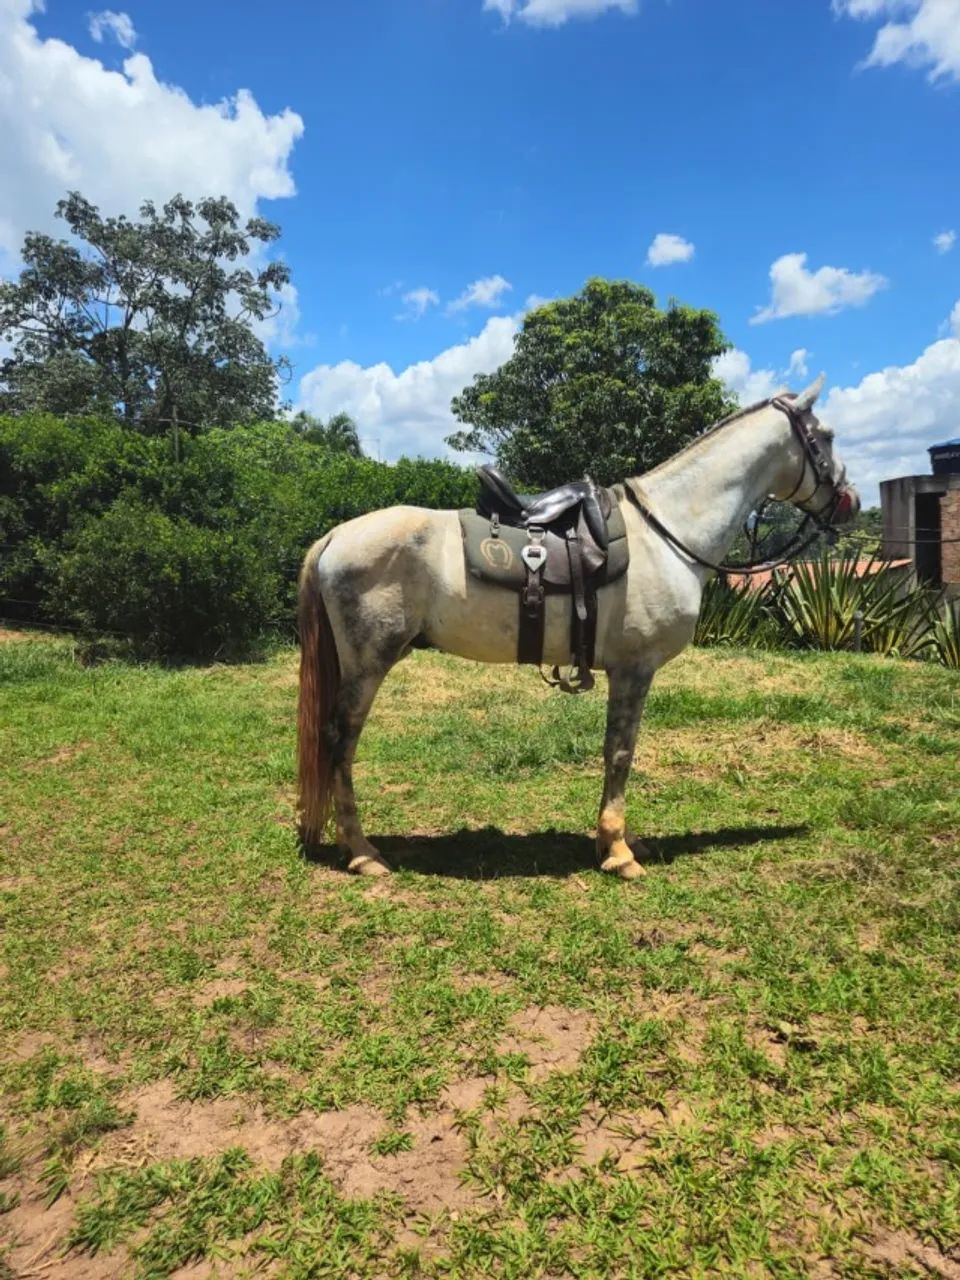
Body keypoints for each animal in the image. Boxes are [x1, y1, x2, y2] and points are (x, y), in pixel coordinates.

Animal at [296, 374, 859, 880]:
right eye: (827, 436)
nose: (850, 501)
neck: (667, 532)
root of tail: (336, 536)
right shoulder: (634, 669)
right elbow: (620, 752)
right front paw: (618, 851)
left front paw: (616, 842)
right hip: (368, 664)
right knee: (340, 741)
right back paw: (362, 852)